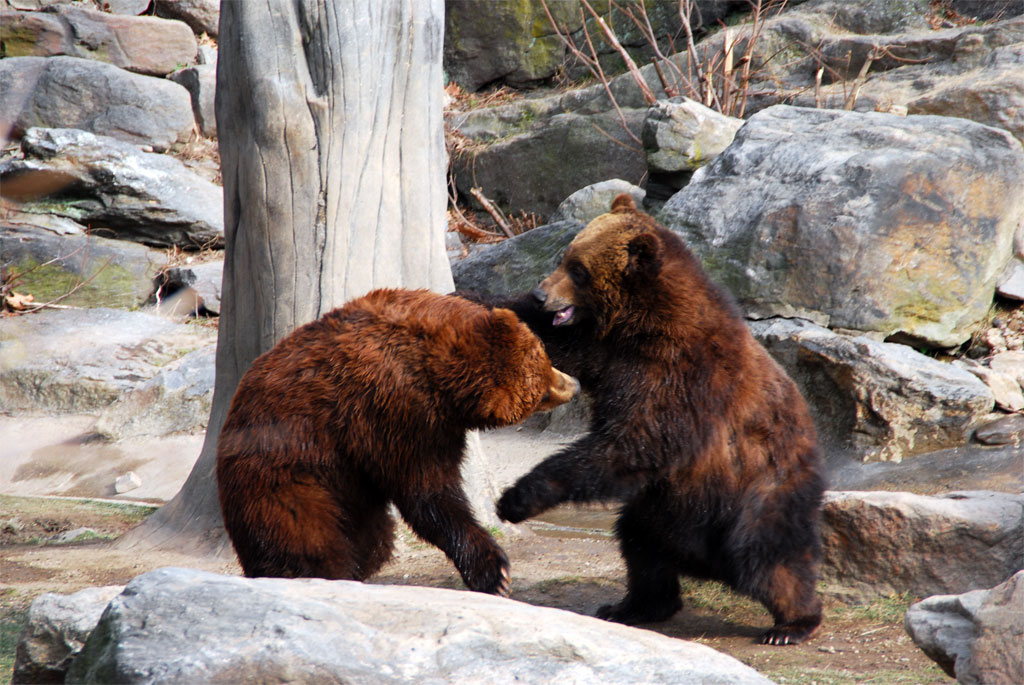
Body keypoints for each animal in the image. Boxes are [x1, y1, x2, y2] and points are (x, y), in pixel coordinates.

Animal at [215, 286, 577, 593]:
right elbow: (427, 493)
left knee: (374, 540)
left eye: (545, 357)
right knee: (307, 538)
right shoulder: (395, 411)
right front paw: (495, 572)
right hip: (286, 473)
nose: (572, 384)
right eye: (541, 387)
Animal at [471, 194, 823, 643]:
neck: (641, 322)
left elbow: (635, 442)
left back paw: (793, 623)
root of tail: (704, 563)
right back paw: (635, 605)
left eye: (578, 269)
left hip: (758, 490)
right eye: (564, 257)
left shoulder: (678, 377)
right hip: (662, 510)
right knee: (640, 550)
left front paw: (515, 498)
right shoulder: (604, 350)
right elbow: (543, 337)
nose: (539, 293)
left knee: (766, 558)